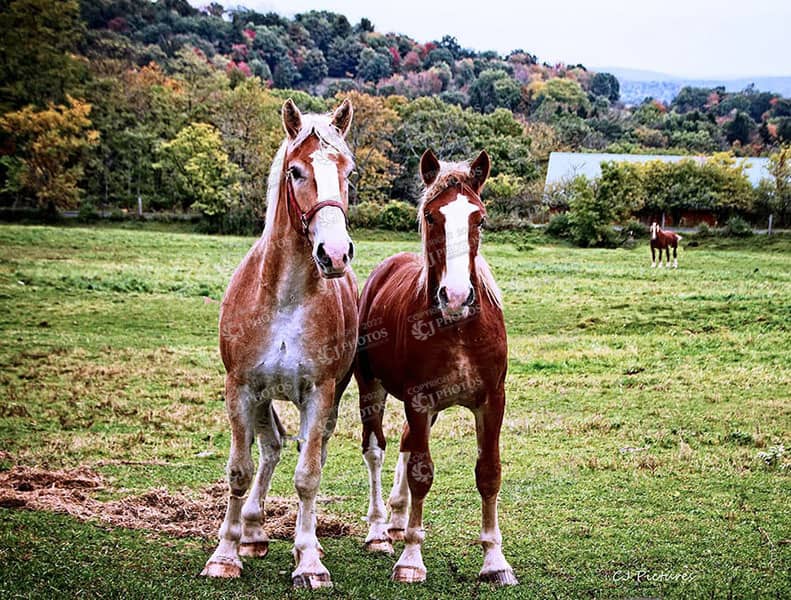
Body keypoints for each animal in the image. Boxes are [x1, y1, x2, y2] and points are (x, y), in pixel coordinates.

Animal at [201, 98, 358, 589]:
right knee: (269, 447)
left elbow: (308, 475)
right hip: (260, 396)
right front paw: (224, 555)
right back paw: (250, 531)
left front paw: (308, 560)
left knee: (306, 449)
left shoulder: (320, 393)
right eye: (295, 171)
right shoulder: (240, 388)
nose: (335, 253)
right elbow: (239, 470)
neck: (285, 298)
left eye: (348, 171)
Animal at [354, 149, 518, 586]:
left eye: (480, 218)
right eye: (431, 216)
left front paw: (495, 561)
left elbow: (488, 473)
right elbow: (422, 473)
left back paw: (396, 520)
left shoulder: (491, 401)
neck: (457, 326)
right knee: (376, 449)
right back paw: (380, 531)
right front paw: (411, 559)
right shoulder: (419, 399)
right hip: (370, 387)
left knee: (406, 443)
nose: (456, 295)